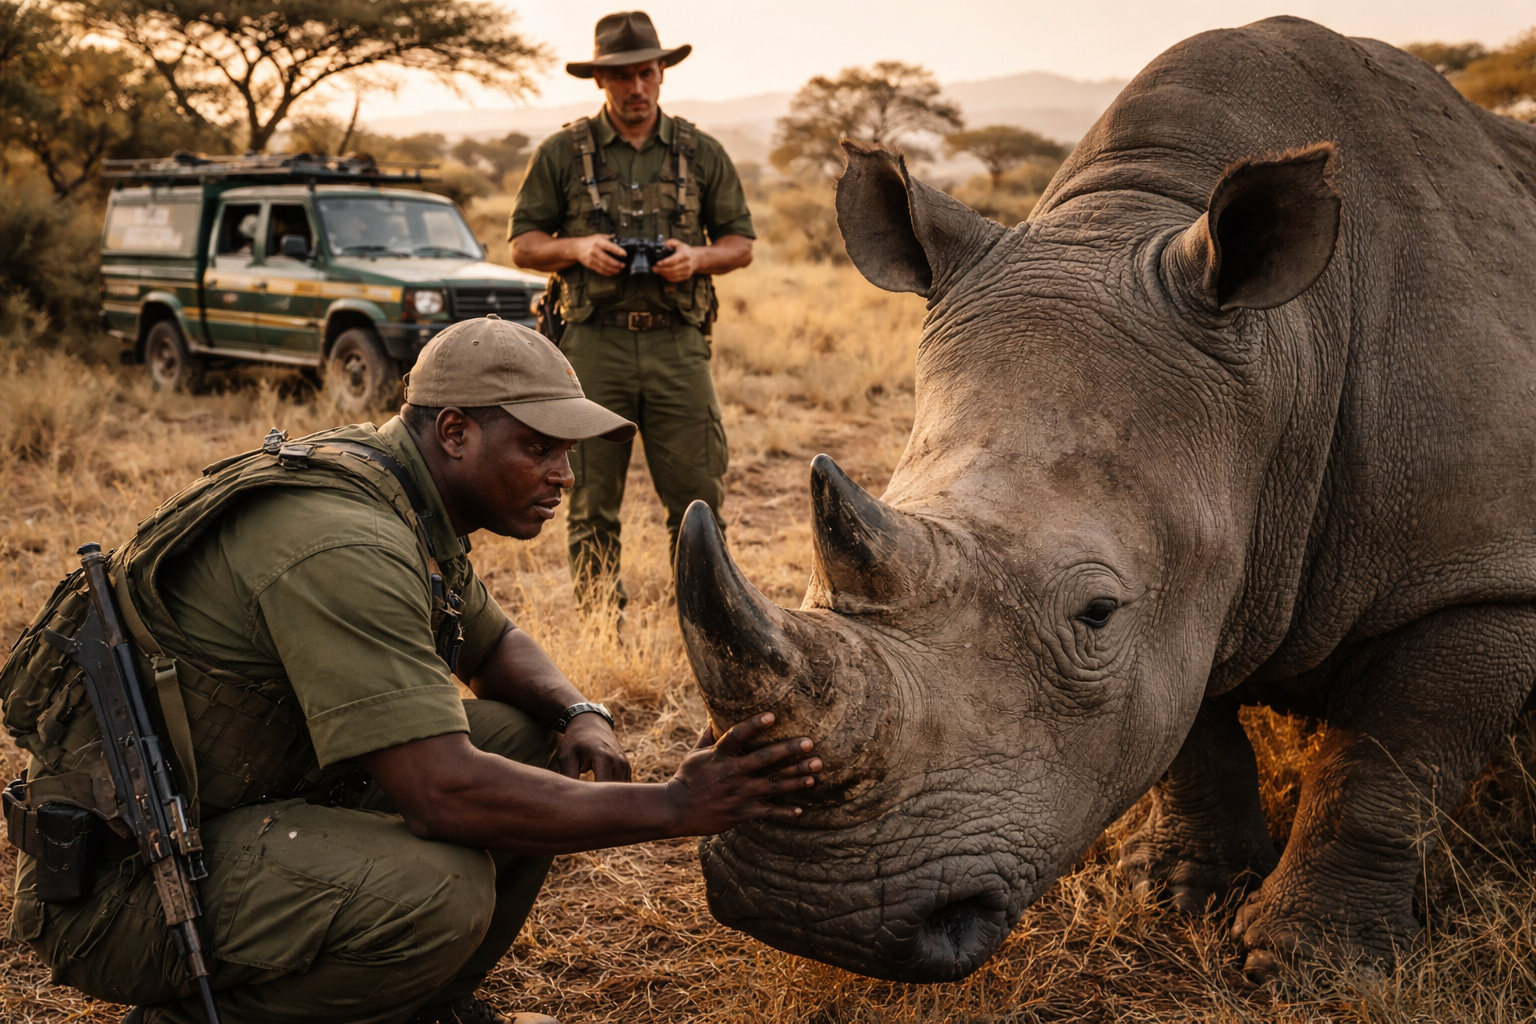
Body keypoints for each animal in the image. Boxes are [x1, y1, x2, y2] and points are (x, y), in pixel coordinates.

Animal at [672, 16, 1536, 984]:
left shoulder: (1479, 575)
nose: (806, 912)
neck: (1289, 351)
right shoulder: (1192, 553)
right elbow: (1186, 732)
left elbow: (1387, 770)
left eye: (1096, 611)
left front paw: (1308, 969)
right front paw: (1176, 894)